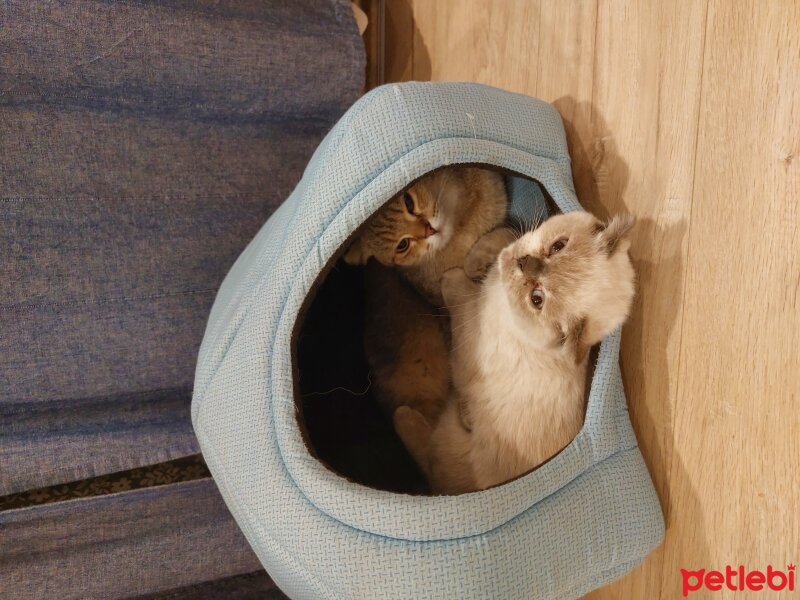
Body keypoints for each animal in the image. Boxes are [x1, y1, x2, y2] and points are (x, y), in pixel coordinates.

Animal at [396, 211, 636, 492]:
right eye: (558, 246)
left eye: (537, 299)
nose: (524, 263)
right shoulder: (511, 245)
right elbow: (507, 235)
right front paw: (477, 261)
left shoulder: (469, 330)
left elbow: (460, 292)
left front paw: (455, 274)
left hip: (449, 445)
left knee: (430, 464)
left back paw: (410, 417)